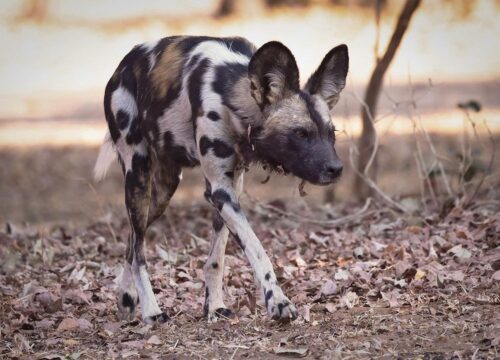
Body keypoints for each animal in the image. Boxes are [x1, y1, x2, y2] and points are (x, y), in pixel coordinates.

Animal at [94, 35, 348, 324]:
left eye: (331, 133)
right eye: (301, 133)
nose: (336, 169)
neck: (233, 98)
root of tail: (123, 64)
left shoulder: (228, 189)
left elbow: (216, 260)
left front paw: (214, 307)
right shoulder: (220, 191)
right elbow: (257, 250)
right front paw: (278, 302)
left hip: (162, 193)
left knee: (132, 241)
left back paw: (126, 299)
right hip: (138, 175)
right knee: (138, 252)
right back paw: (151, 310)